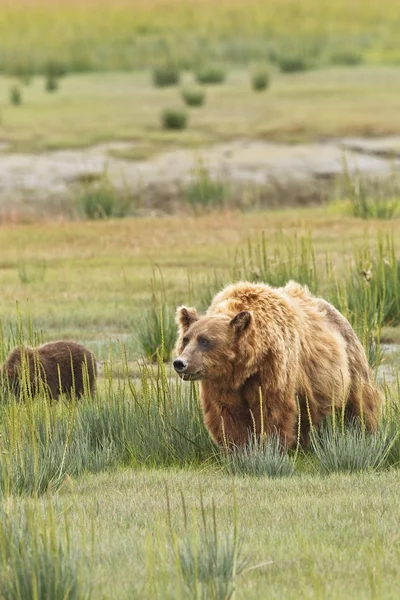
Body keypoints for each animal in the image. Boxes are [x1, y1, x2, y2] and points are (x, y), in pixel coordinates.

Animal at [173, 280, 380, 446]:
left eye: (205, 341)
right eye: (186, 339)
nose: (180, 363)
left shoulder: (273, 368)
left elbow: (271, 410)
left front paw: (270, 446)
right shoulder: (221, 383)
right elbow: (228, 414)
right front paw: (239, 448)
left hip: (349, 365)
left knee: (359, 402)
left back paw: (365, 433)